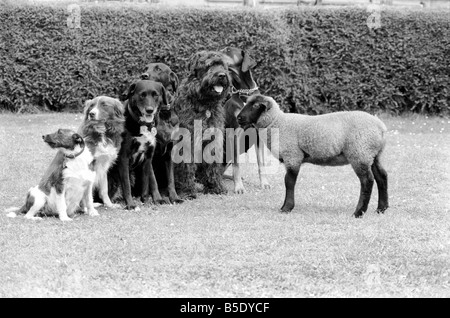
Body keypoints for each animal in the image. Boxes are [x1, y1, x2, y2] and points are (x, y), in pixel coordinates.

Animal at [172, 50, 232, 198]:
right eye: (209, 65)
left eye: (222, 65)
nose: (222, 75)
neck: (205, 103)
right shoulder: (187, 140)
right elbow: (186, 165)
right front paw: (187, 190)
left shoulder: (213, 138)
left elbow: (212, 164)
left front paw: (215, 186)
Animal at [237, 94, 388, 217]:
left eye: (256, 106)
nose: (238, 118)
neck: (278, 122)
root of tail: (381, 127)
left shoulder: (293, 156)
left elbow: (289, 182)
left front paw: (286, 208)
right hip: (372, 155)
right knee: (382, 177)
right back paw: (381, 208)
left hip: (359, 153)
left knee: (367, 181)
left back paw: (359, 212)